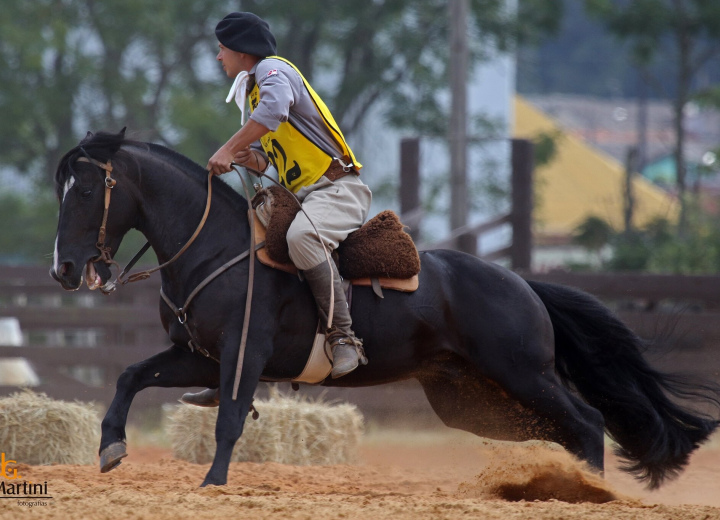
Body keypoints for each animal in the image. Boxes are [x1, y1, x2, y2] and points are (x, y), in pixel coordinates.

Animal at [52, 130, 720, 488]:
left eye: (84, 189)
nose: (64, 269)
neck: (217, 245)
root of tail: (523, 284)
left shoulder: (244, 355)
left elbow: (231, 420)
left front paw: (212, 483)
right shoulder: (198, 356)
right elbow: (130, 376)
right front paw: (110, 447)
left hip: (523, 374)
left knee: (586, 422)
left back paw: (590, 493)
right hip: (473, 399)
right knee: (565, 429)